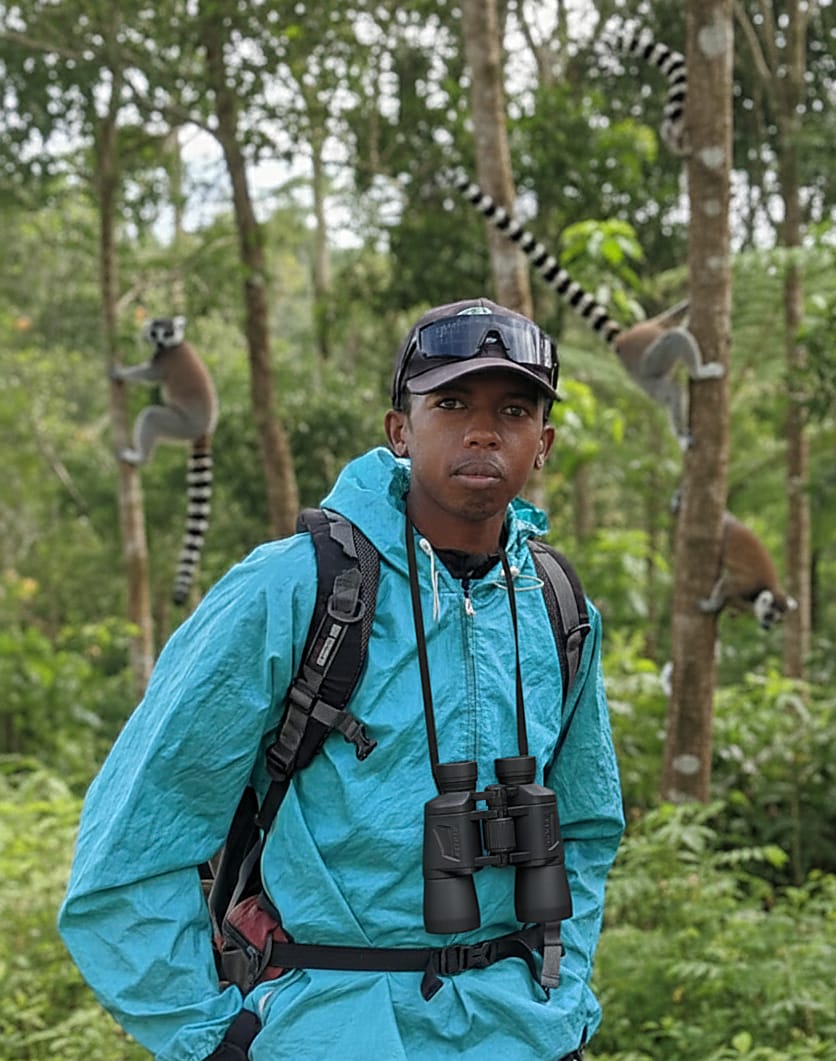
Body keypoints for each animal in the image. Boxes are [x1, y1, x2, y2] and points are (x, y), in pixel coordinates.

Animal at [111, 315, 218, 605]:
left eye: (167, 332)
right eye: (156, 331)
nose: (159, 340)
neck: (175, 345)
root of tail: (204, 430)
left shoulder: (164, 360)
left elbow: (149, 374)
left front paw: (119, 372)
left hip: (179, 424)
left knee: (151, 416)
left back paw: (138, 457)